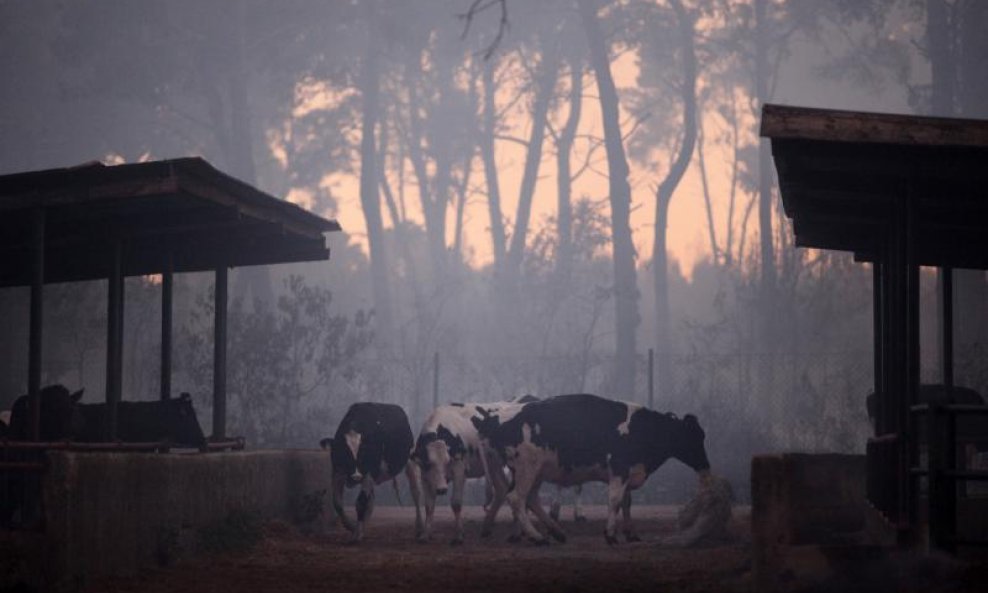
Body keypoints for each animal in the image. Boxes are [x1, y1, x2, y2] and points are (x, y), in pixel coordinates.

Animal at [320, 400, 412, 544]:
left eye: (363, 453)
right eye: (344, 453)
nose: (356, 475)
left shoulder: (369, 472)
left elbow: (361, 502)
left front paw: (356, 534)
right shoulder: (337, 472)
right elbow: (337, 502)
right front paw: (352, 527)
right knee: (370, 501)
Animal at [488, 394, 708, 544]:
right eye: (694, 437)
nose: (706, 465)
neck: (641, 429)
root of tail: (504, 423)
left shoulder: (628, 473)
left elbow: (626, 503)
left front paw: (631, 533)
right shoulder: (619, 470)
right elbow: (615, 501)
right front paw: (610, 534)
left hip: (535, 472)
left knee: (532, 499)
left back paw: (556, 532)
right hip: (527, 469)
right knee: (517, 498)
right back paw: (537, 537)